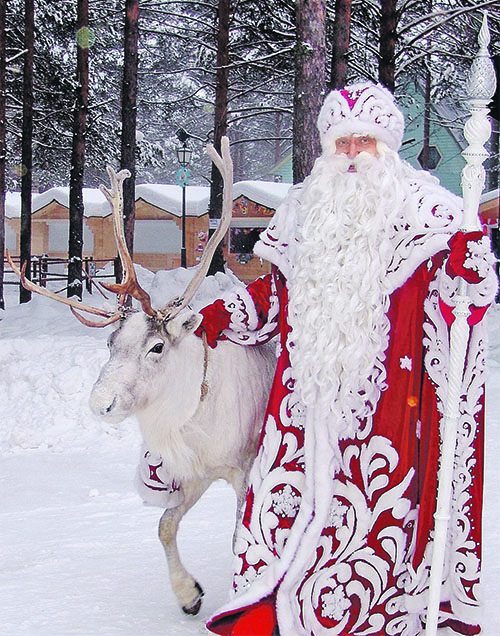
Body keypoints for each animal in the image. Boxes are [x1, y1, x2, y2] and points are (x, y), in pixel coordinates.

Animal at [7, 138, 276, 616]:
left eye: (156, 347)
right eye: (109, 342)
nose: (101, 404)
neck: (196, 410)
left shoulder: (245, 468)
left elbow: (238, 537)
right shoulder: (194, 472)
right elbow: (164, 525)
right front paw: (189, 595)